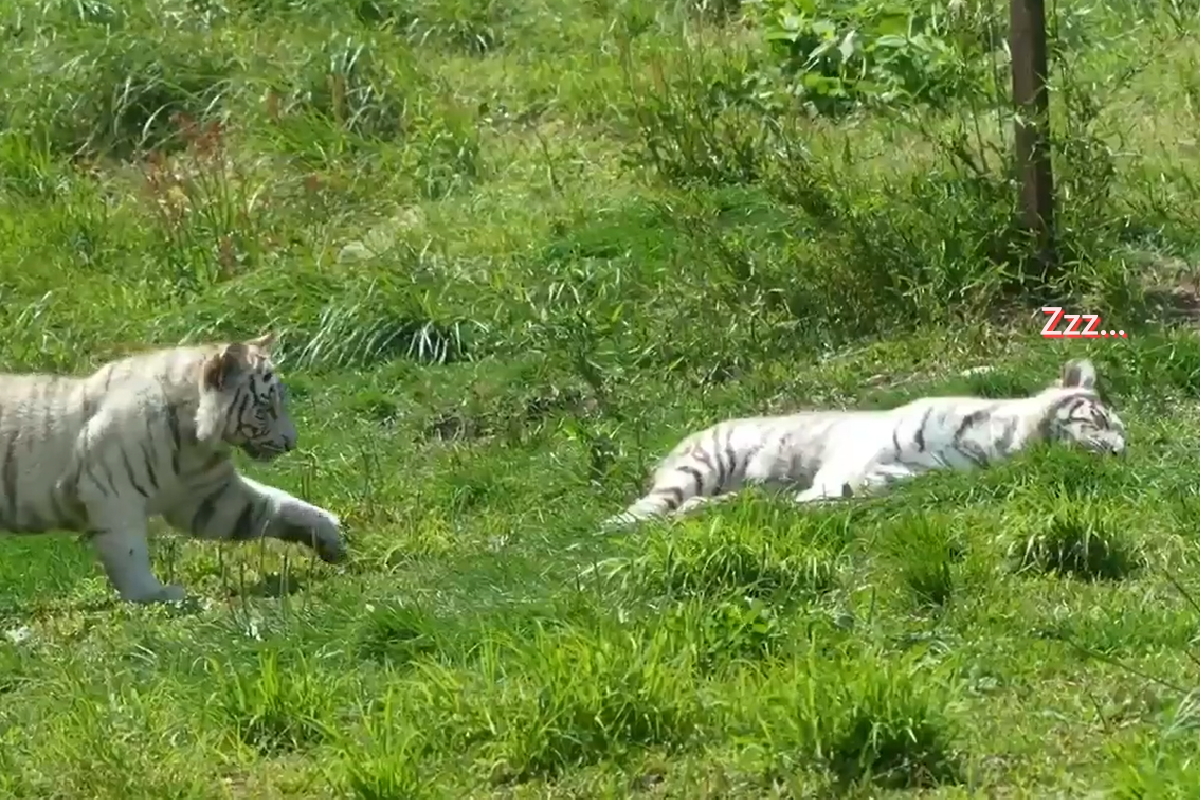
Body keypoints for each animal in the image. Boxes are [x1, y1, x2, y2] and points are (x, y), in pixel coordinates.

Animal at [0, 332, 346, 603]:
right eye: (264, 408)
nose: (291, 442)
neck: (193, 441)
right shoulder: (112, 492)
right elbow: (129, 551)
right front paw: (154, 595)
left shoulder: (210, 496)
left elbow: (274, 506)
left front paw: (330, 535)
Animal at [603, 358, 1125, 530]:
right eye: (1099, 419)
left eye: (1126, 437)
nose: (1121, 452)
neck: (998, 445)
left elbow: (846, 491)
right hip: (702, 465)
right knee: (649, 506)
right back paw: (617, 527)